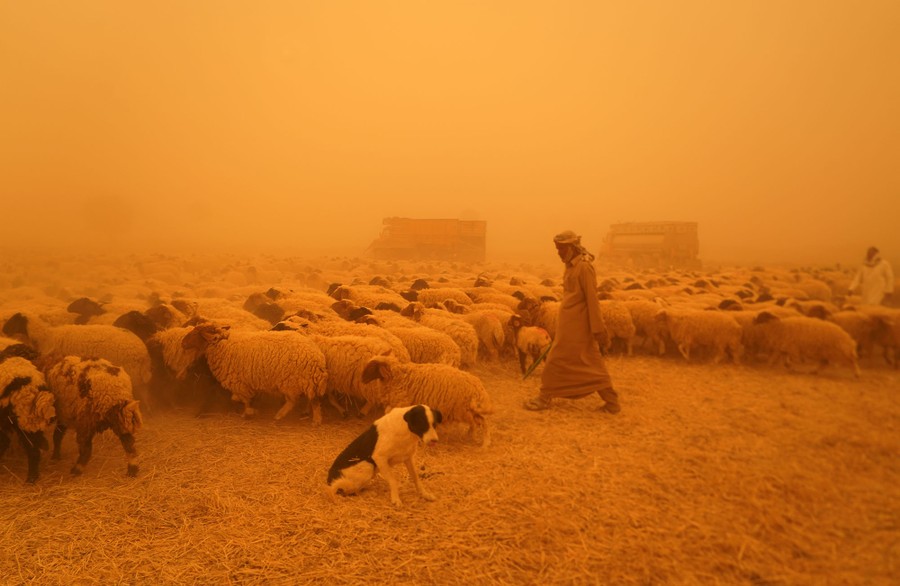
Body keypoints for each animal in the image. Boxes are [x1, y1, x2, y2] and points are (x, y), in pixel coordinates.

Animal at [181, 322, 328, 423]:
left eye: (196, 333)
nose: (183, 343)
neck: (223, 346)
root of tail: (317, 355)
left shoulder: (239, 382)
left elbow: (245, 399)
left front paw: (248, 412)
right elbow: (238, 398)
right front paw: (248, 409)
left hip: (291, 381)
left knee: (299, 401)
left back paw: (307, 419)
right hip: (304, 381)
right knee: (309, 398)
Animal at [360, 354, 493, 447]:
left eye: (372, 367)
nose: (362, 380)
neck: (399, 377)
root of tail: (479, 387)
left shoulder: (401, 403)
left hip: (465, 410)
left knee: (483, 423)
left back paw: (484, 443)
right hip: (470, 411)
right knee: (478, 423)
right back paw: (473, 437)